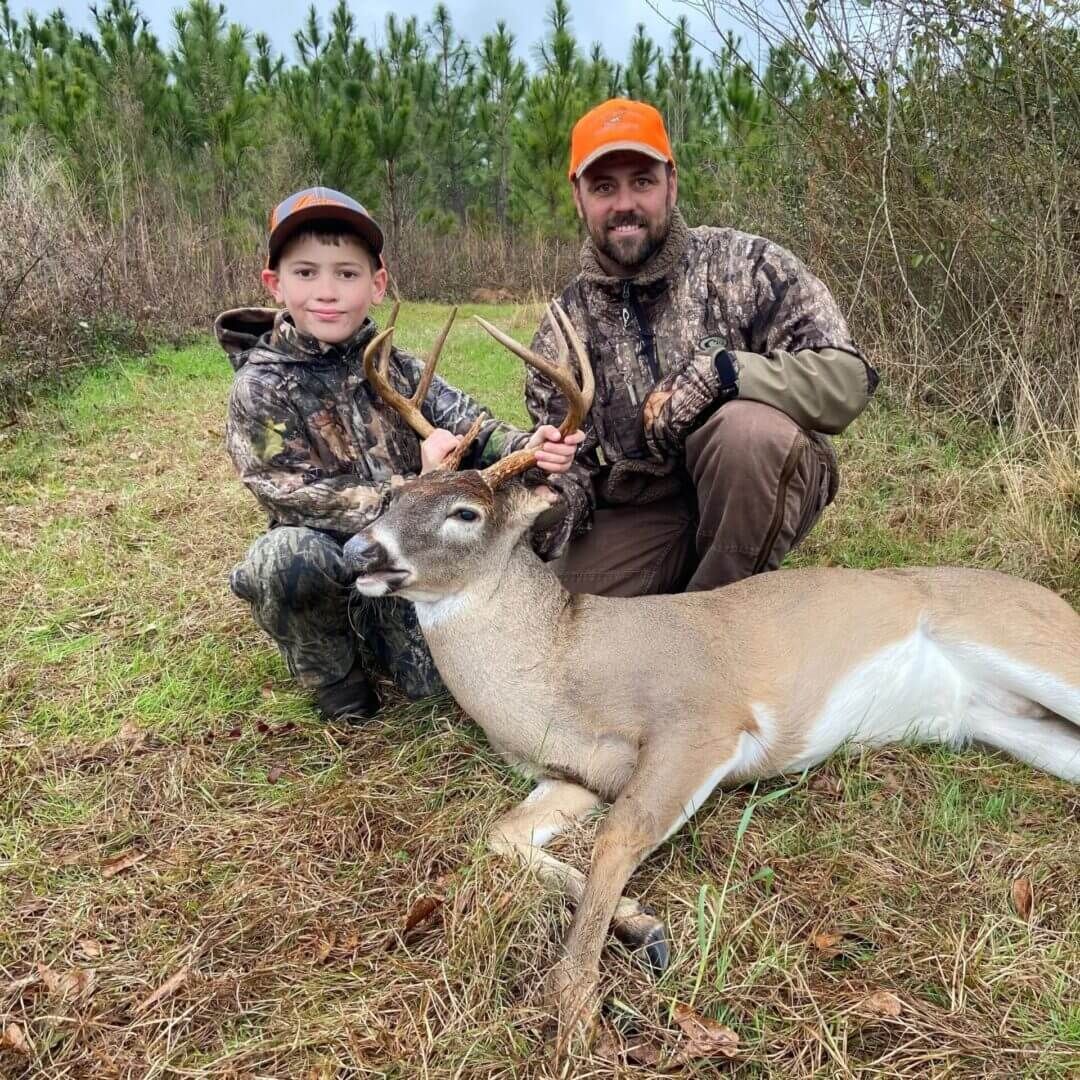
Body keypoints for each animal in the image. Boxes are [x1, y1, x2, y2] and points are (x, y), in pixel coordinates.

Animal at [342, 303, 1080, 1053]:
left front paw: (578, 1008)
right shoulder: (573, 775)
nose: (356, 551)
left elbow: (617, 837)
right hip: (995, 719)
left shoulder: (702, 720)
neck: (562, 669)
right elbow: (499, 833)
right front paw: (640, 926)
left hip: (1031, 646)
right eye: (392, 495)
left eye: (465, 514)